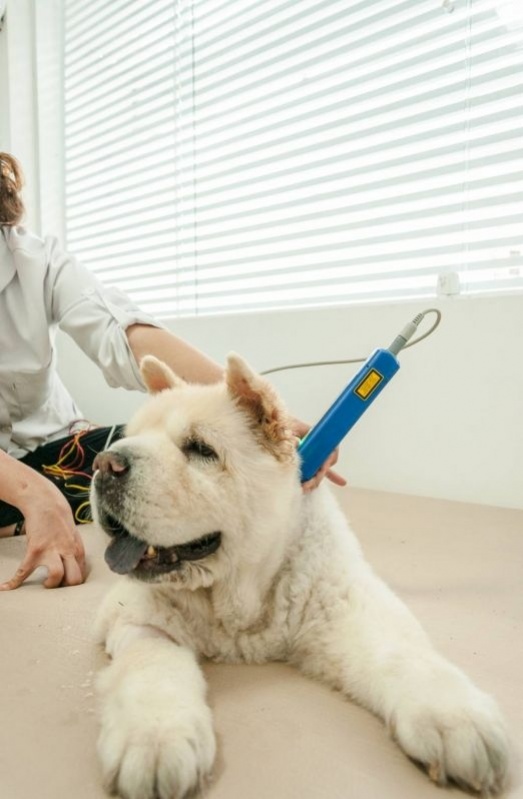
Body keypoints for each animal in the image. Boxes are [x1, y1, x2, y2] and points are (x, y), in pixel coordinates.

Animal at [92, 356, 510, 799]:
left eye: (200, 449)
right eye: (131, 437)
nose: (104, 464)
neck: (239, 607)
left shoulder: (347, 604)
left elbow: (402, 653)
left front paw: (460, 723)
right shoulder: (137, 617)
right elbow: (152, 665)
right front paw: (155, 744)